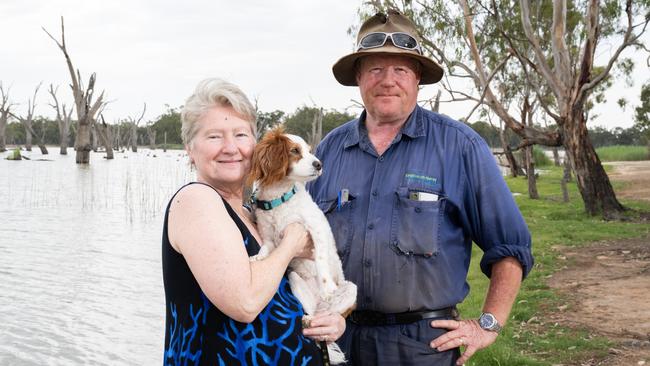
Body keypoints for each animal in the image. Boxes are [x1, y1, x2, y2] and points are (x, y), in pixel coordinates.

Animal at [247, 129, 354, 364]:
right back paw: (309, 320)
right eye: (295, 151)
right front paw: (259, 257)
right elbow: (267, 249)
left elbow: (321, 259)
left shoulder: (316, 229)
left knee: (328, 315)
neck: (279, 198)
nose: (319, 164)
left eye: (310, 150)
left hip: (351, 290)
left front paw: (327, 286)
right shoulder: (268, 236)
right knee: (314, 314)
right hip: (295, 280)